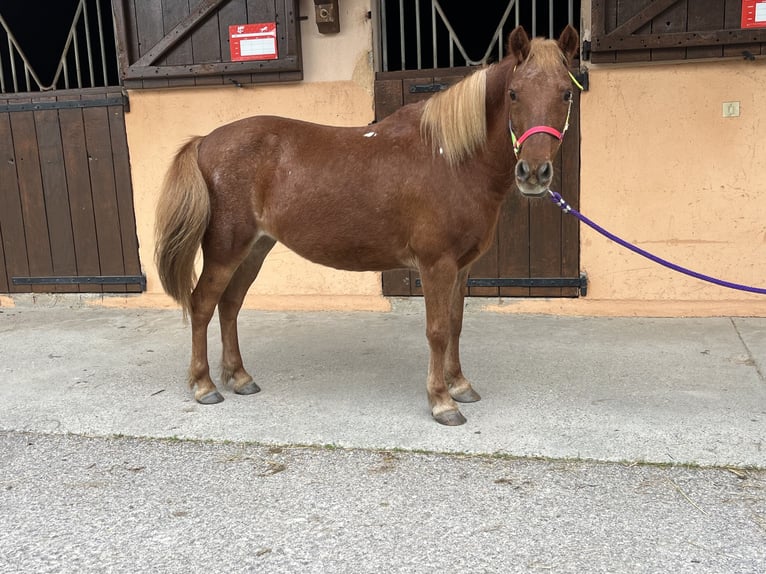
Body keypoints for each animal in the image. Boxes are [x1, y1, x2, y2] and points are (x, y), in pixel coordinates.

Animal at [158, 25, 584, 428]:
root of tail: (204, 142)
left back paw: (240, 377)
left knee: (229, 305)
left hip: (255, 249)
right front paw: (442, 402)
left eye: (566, 94)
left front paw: (460, 385)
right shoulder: (436, 265)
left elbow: (456, 325)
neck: (451, 160)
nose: (533, 173)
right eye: (513, 93)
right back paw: (204, 385)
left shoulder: (462, 267)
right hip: (226, 249)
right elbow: (437, 331)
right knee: (202, 304)